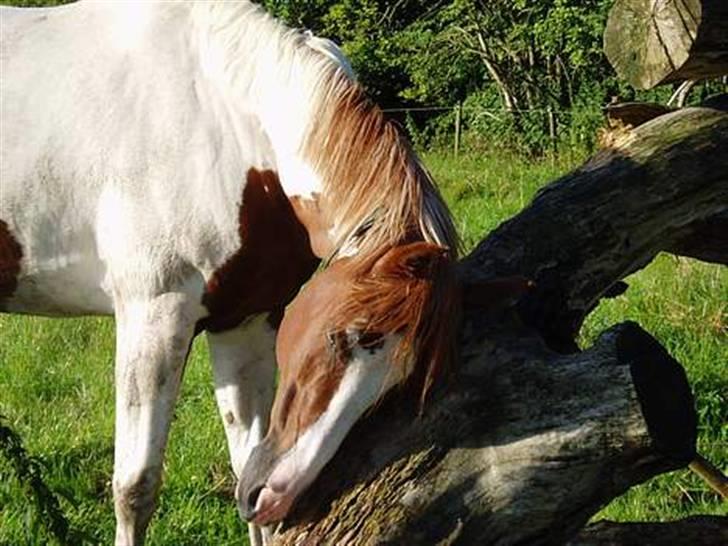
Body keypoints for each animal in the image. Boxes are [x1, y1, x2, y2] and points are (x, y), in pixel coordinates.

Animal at [0, 2, 458, 540]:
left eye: (395, 383)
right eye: (342, 336)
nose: (276, 495)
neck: (222, 117)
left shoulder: (245, 322)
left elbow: (244, 461)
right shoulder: (153, 319)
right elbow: (135, 488)